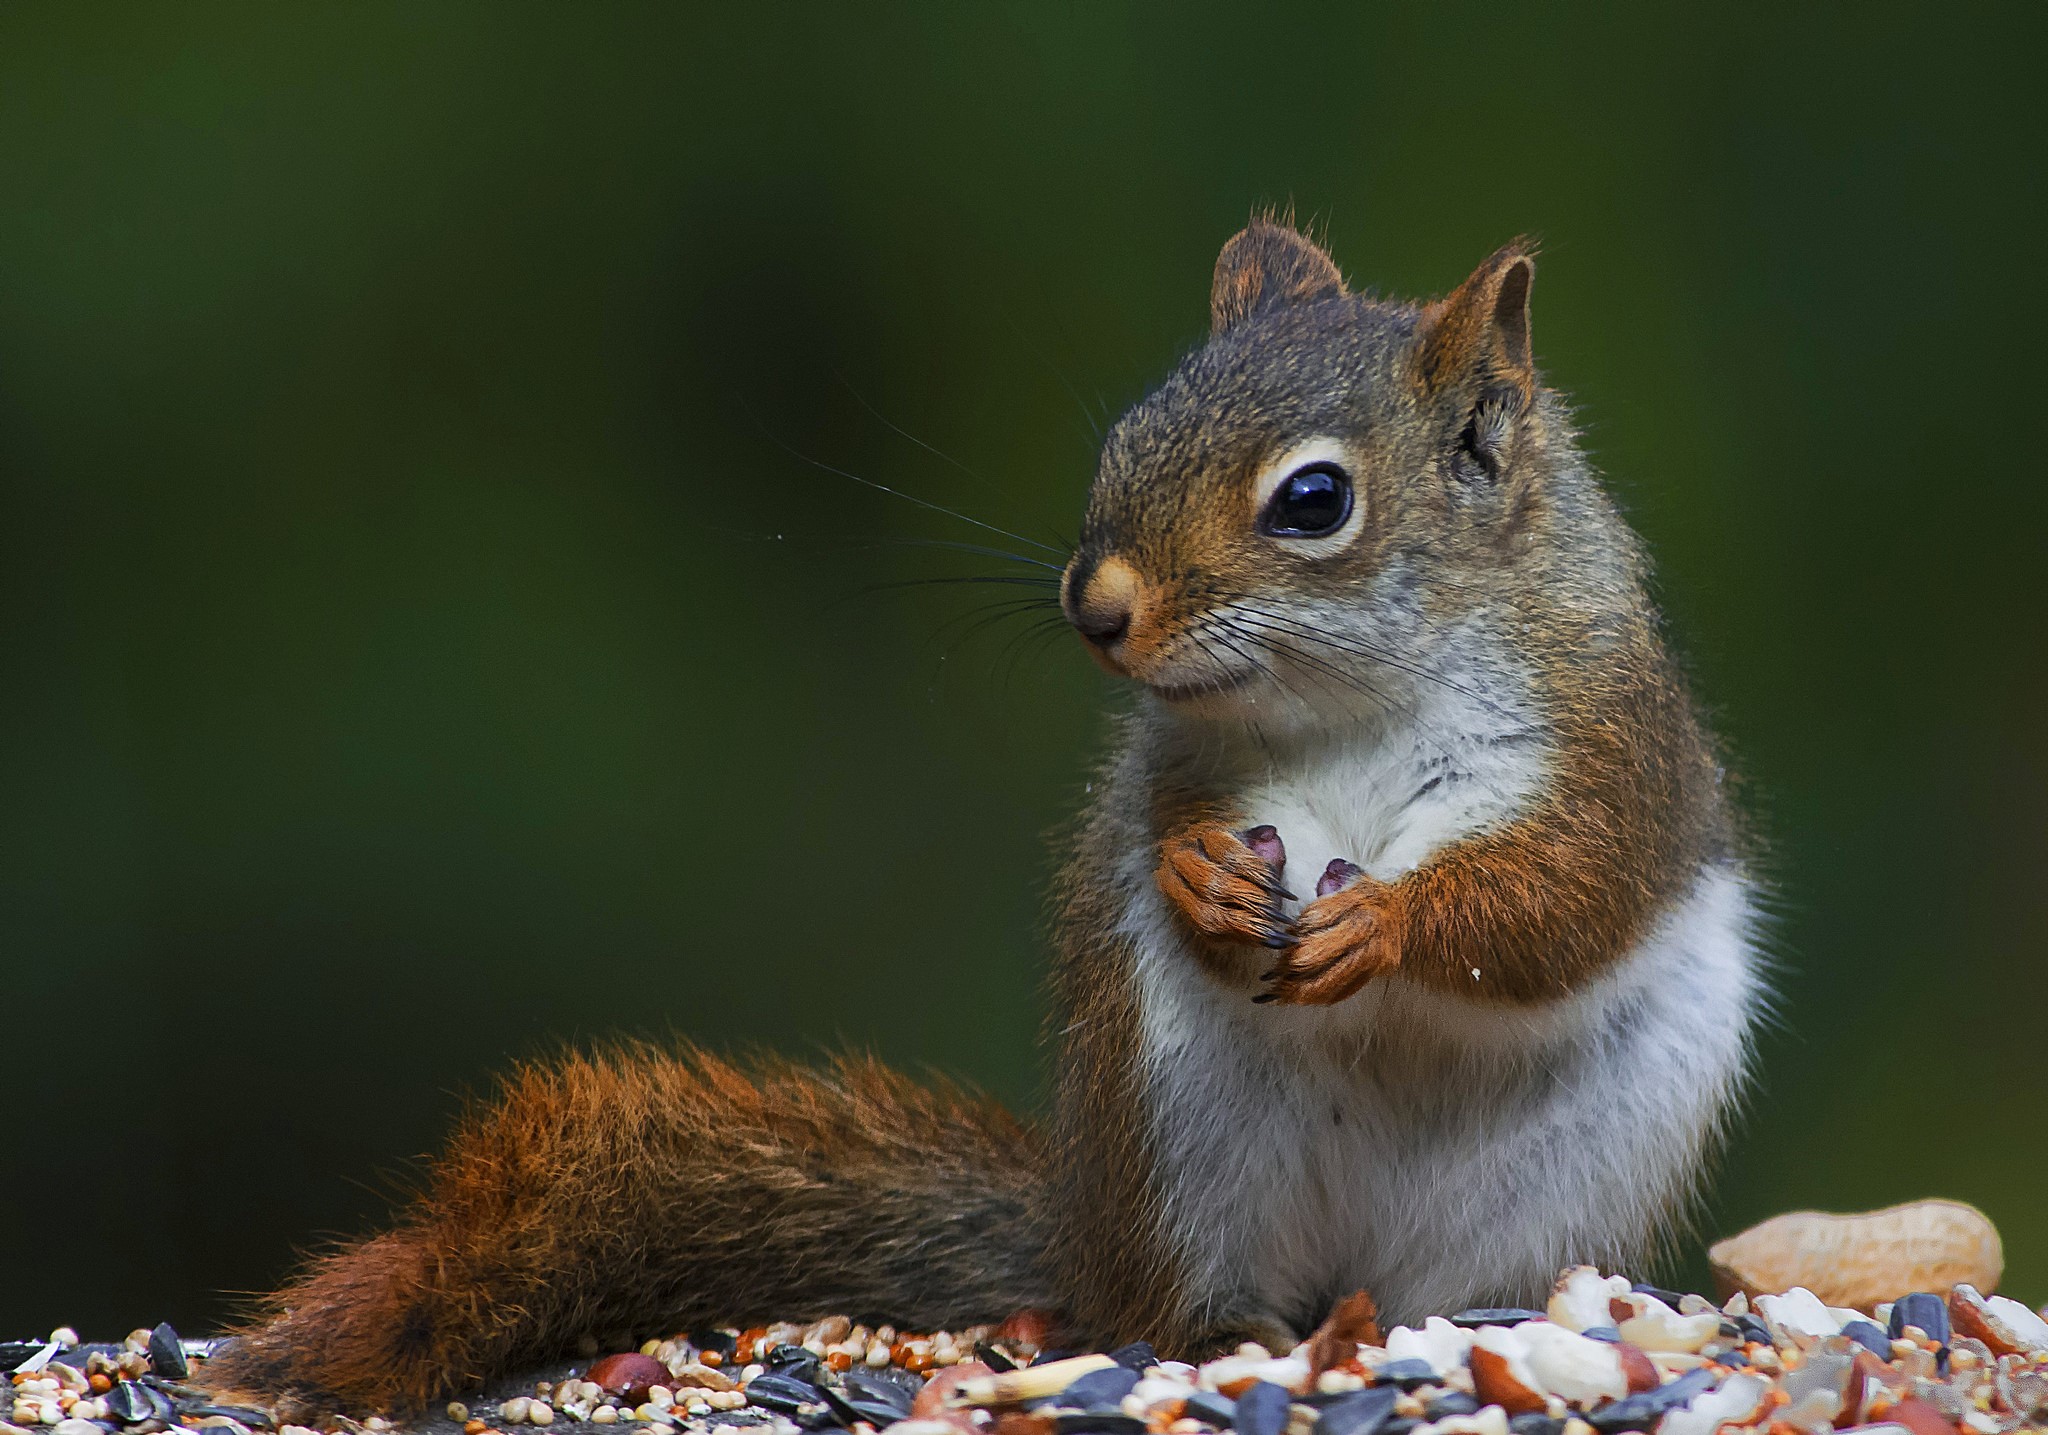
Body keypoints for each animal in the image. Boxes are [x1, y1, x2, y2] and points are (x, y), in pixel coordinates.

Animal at [207, 219, 1765, 1414]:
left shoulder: (1610, 745)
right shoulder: (1177, 761)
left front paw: (1382, 920)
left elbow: (1559, 897)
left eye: (1315, 499)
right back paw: (1235, 1332)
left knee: (1456, 1282)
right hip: (1170, 1120)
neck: (1349, 696)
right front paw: (1201, 880)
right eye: (1129, 435)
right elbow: (1171, 835)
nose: (1096, 606)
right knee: (1179, 1303)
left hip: (1578, 1155)